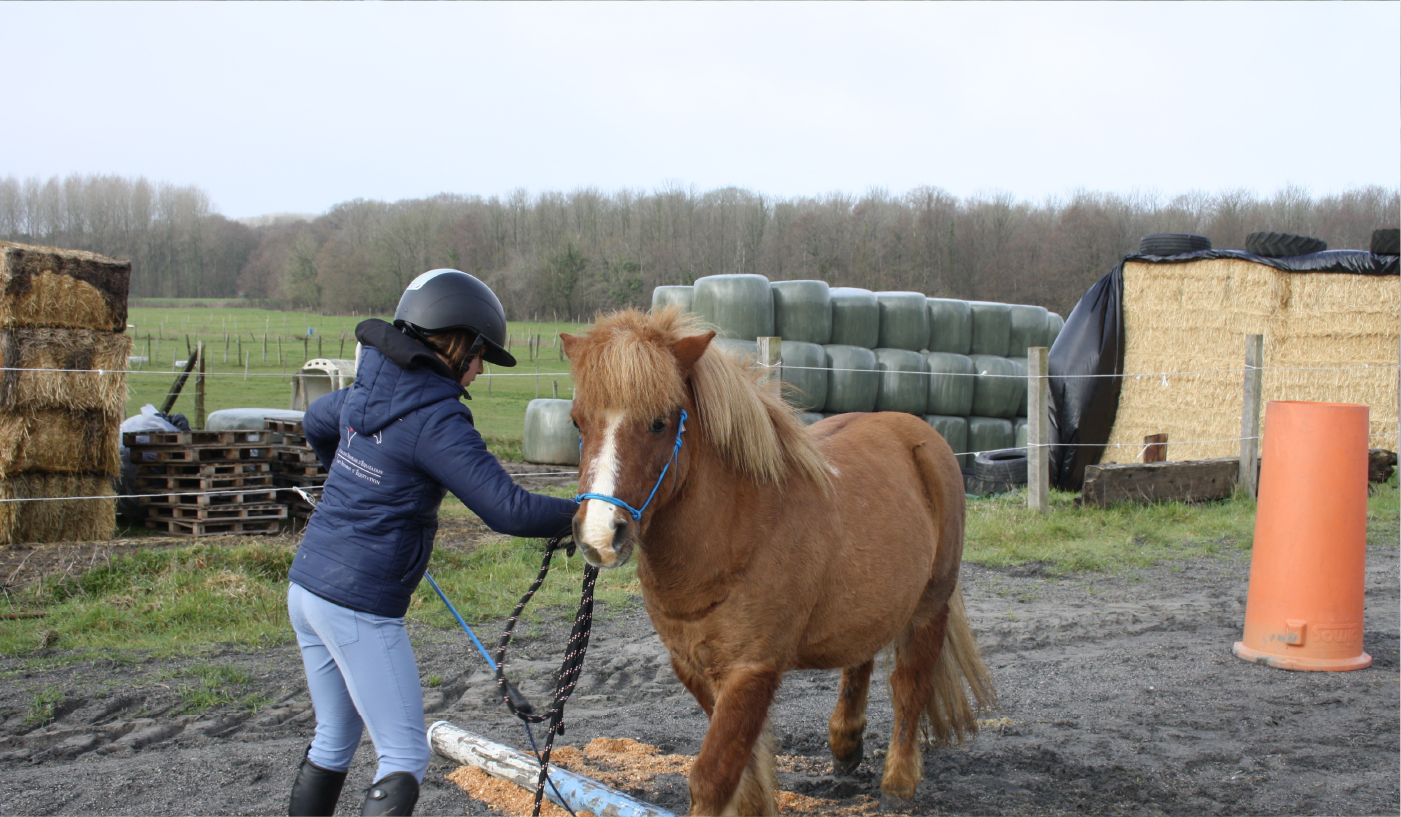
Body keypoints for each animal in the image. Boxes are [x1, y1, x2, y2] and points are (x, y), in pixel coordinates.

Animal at [560, 309, 997, 812]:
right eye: (577, 423)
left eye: (659, 423)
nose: (599, 535)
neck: (740, 527)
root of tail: (921, 437)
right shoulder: (693, 667)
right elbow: (745, 775)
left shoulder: (752, 670)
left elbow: (712, 778)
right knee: (860, 659)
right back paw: (845, 744)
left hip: (930, 605)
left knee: (911, 686)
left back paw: (899, 784)